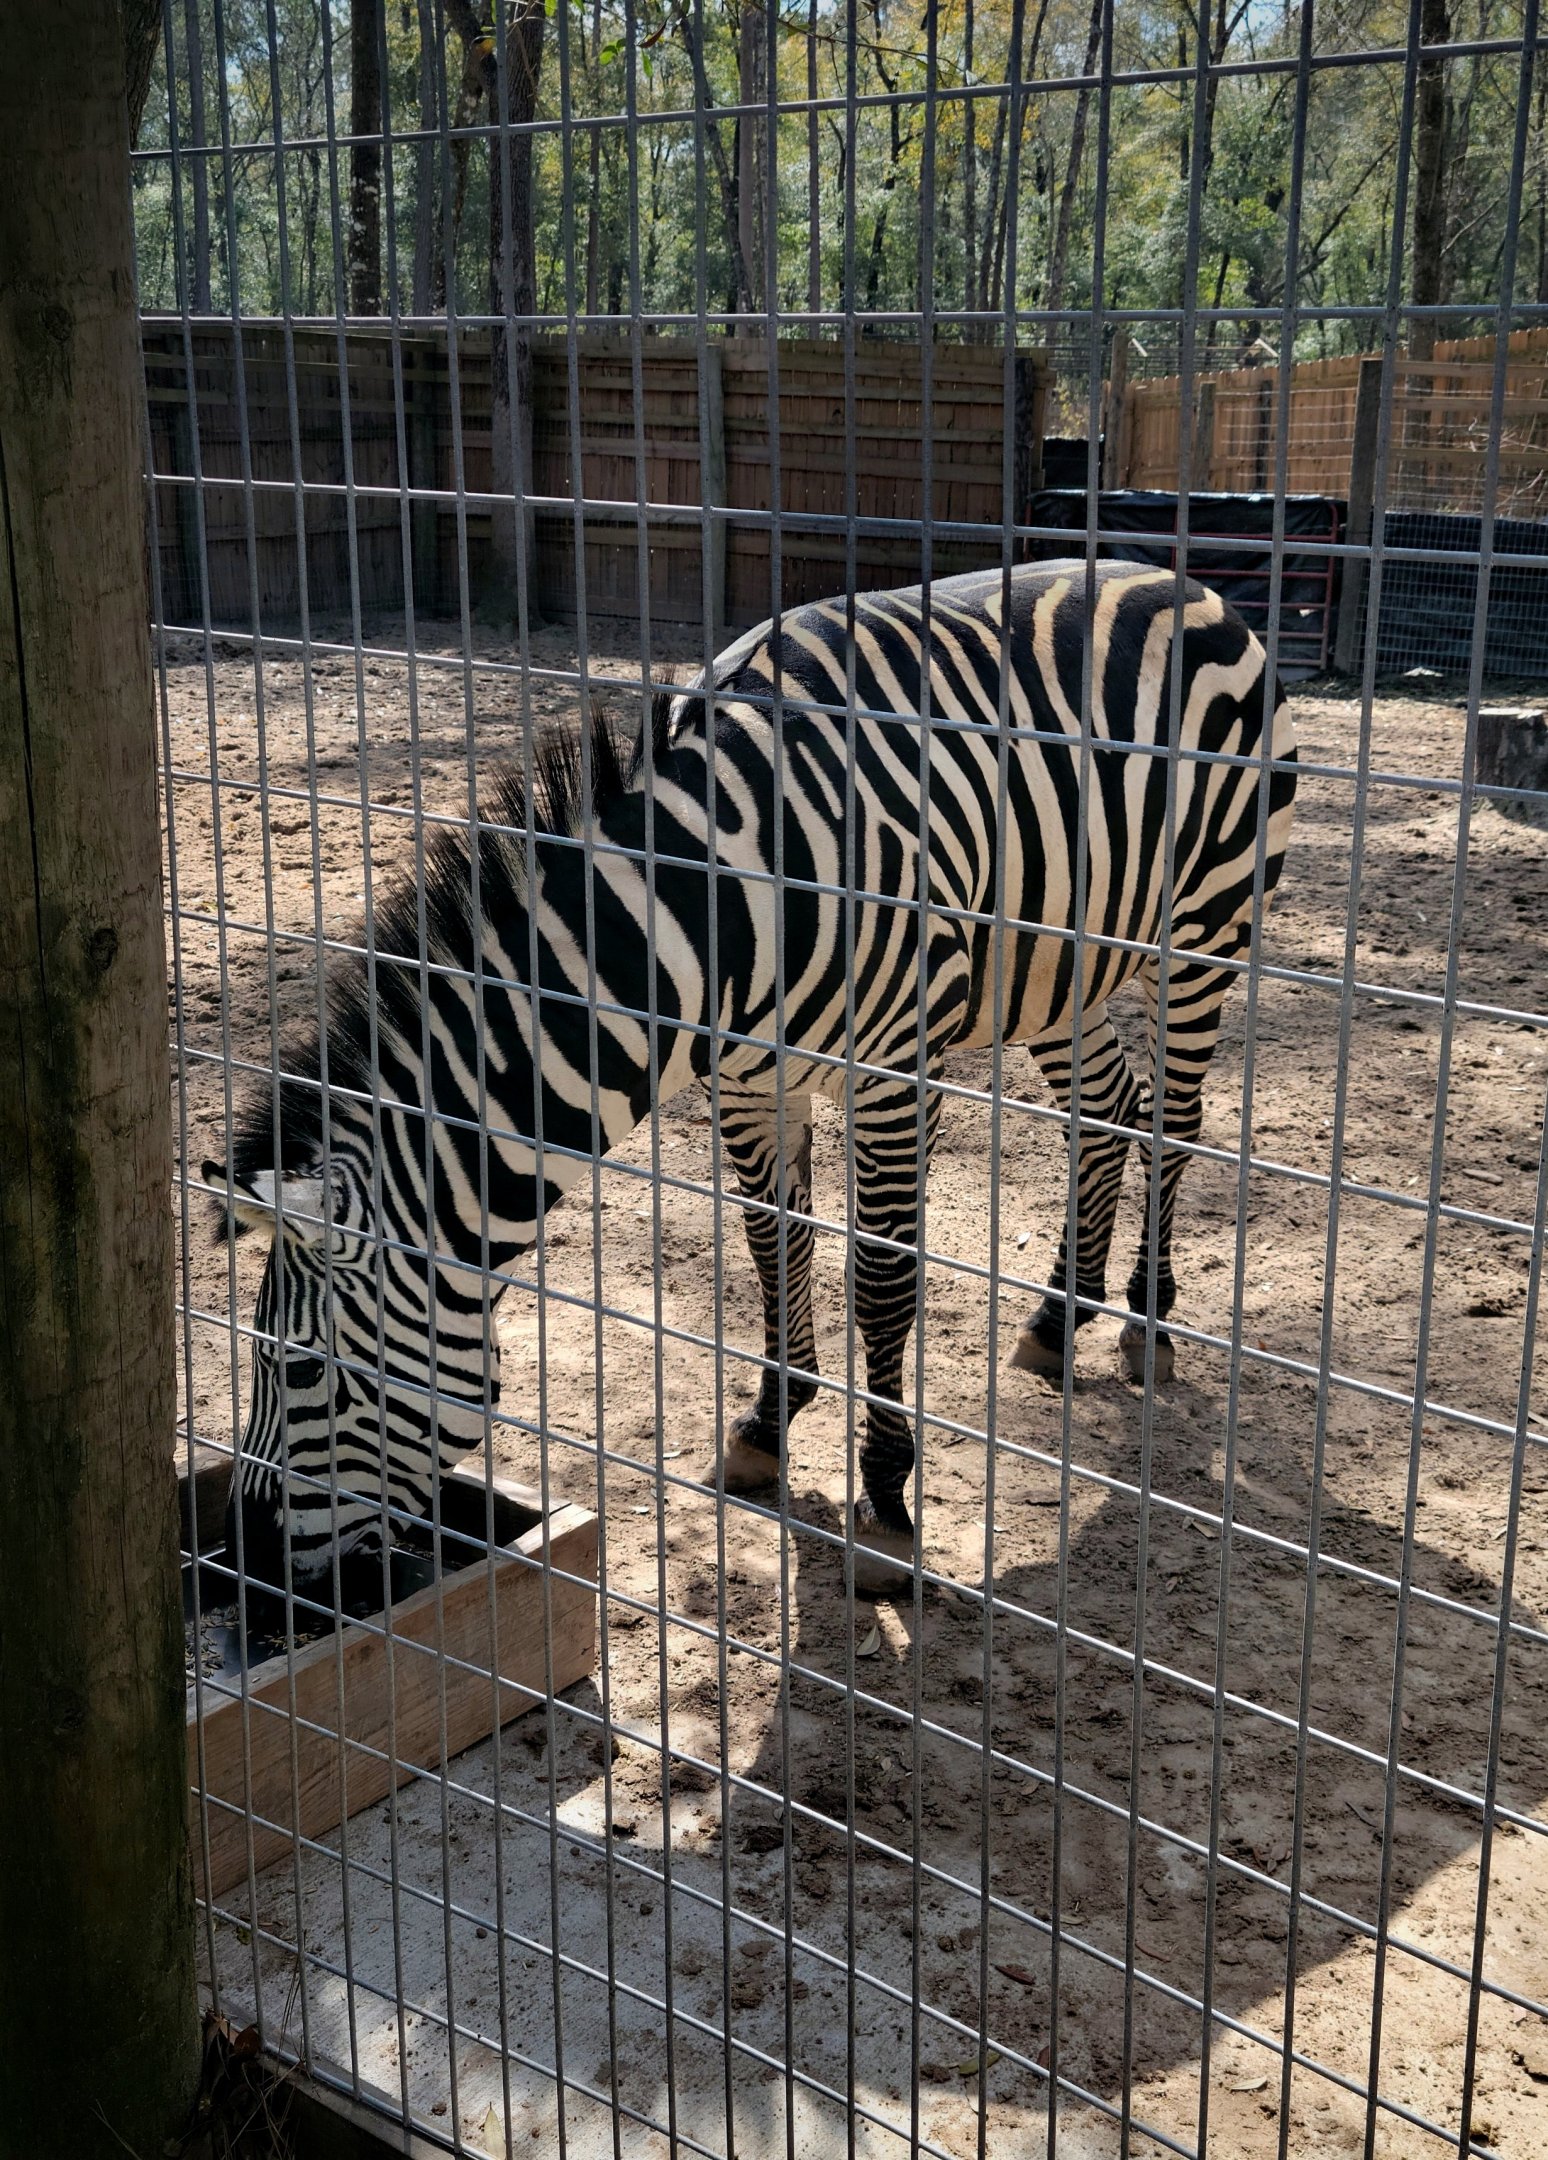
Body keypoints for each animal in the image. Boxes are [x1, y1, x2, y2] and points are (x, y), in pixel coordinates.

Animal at [206, 560, 1297, 1598]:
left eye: (293, 1367)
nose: (245, 1569)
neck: (711, 917)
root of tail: (1185, 579)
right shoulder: (745, 1083)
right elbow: (773, 1241)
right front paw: (772, 1422)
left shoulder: (894, 1072)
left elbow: (883, 1279)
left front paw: (885, 1511)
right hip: (1055, 967)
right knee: (1107, 1112)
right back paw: (1059, 1317)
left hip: (1204, 933)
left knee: (1174, 1119)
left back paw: (1146, 1321)